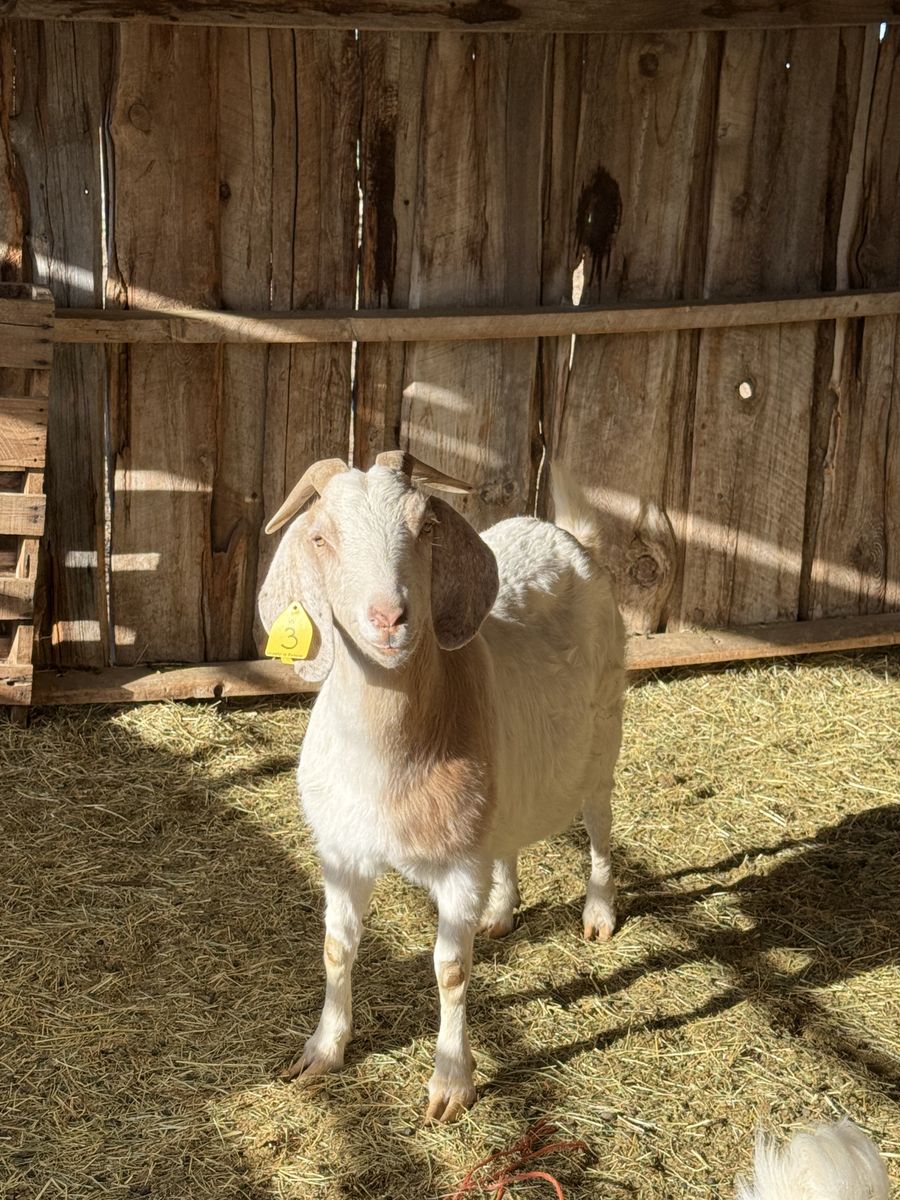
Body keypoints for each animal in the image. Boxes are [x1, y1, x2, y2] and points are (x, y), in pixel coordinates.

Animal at [258, 452, 625, 1122]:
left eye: (426, 526)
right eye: (321, 537)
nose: (389, 617)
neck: (389, 760)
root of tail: (565, 536)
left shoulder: (457, 868)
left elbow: (450, 969)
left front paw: (451, 1083)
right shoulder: (342, 852)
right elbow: (336, 947)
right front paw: (322, 1050)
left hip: (604, 734)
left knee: (601, 824)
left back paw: (598, 913)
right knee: (508, 840)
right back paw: (501, 912)